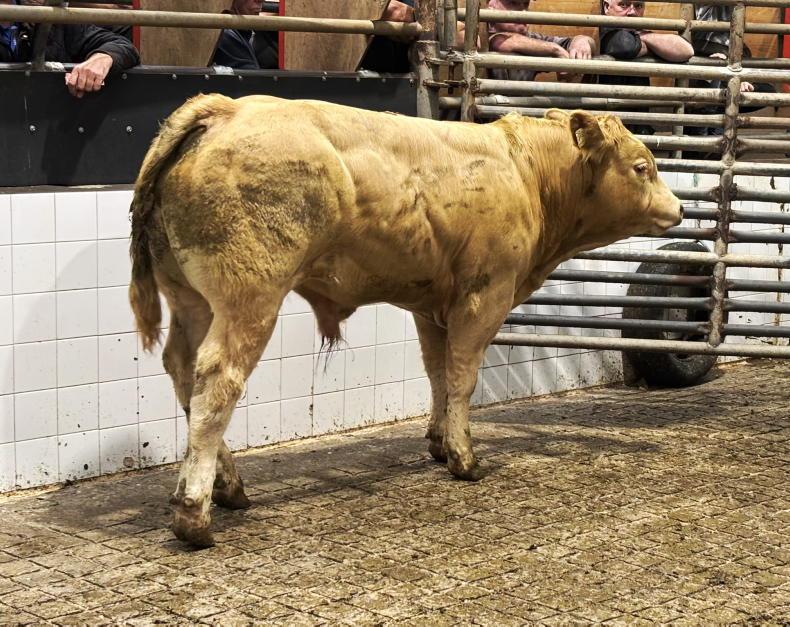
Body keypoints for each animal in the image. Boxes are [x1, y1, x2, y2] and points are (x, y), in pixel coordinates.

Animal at [129, 94, 682, 546]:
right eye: (642, 167)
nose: (678, 209)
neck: (526, 174)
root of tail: (224, 109)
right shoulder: (485, 295)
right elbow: (462, 377)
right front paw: (464, 457)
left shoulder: (431, 304)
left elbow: (437, 372)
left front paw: (439, 442)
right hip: (250, 296)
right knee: (218, 381)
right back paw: (194, 514)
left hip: (192, 299)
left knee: (184, 372)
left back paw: (228, 486)